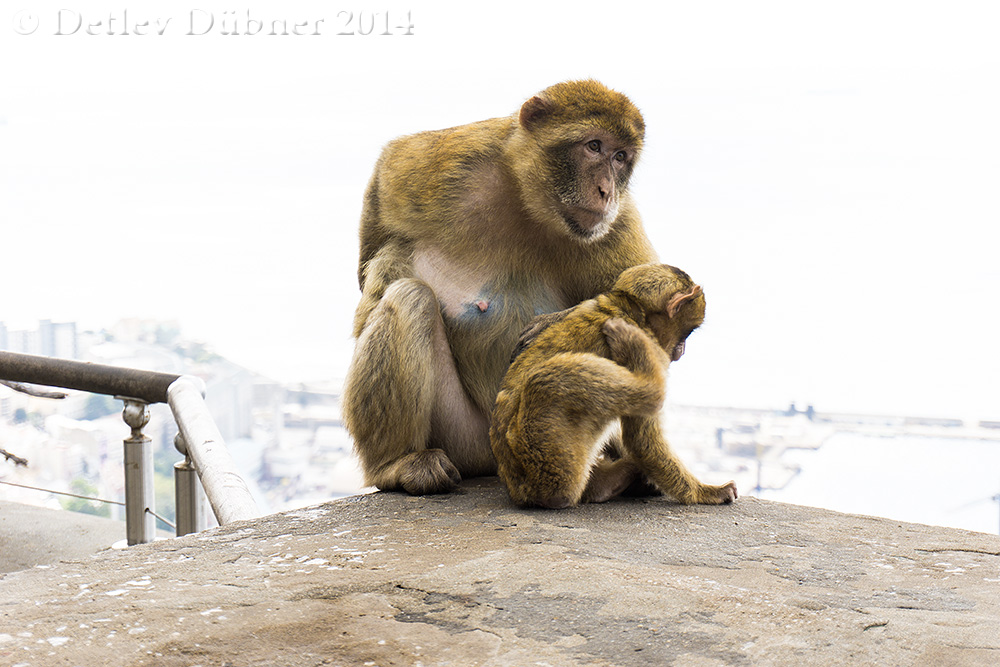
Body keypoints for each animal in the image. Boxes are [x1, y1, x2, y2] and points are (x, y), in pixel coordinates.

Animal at [342, 79, 656, 496]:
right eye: (594, 146)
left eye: (621, 157)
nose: (606, 189)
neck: (528, 201)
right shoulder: (451, 163)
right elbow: (385, 183)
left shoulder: (617, 222)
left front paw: (553, 325)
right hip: (465, 441)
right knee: (408, 295)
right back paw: (395, 464)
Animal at [488, 264, 740, 508]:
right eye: (688, 332)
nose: (682, 350)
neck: (629, 309)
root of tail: (519, 490)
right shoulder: (654, 350)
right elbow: (642, 440)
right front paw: (705, 492)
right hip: (547, 457)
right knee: (547, 379)